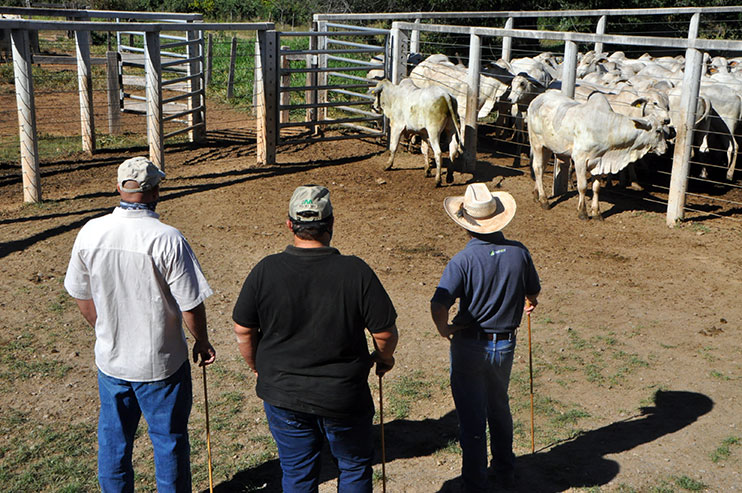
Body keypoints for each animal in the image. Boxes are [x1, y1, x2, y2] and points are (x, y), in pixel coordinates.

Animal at [532, 90, 672, 219]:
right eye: (658, 130)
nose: (665, 148)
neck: (606, 128)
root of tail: (539, 97)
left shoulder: (600, 162)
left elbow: (596, 187)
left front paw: (596, 213)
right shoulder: (580, 159)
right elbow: (582, 186)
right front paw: (582, 212)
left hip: (547, 147)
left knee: (542, 168)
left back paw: (536, 195)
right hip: (537, 144)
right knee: (538, 168)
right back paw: (544, 201)